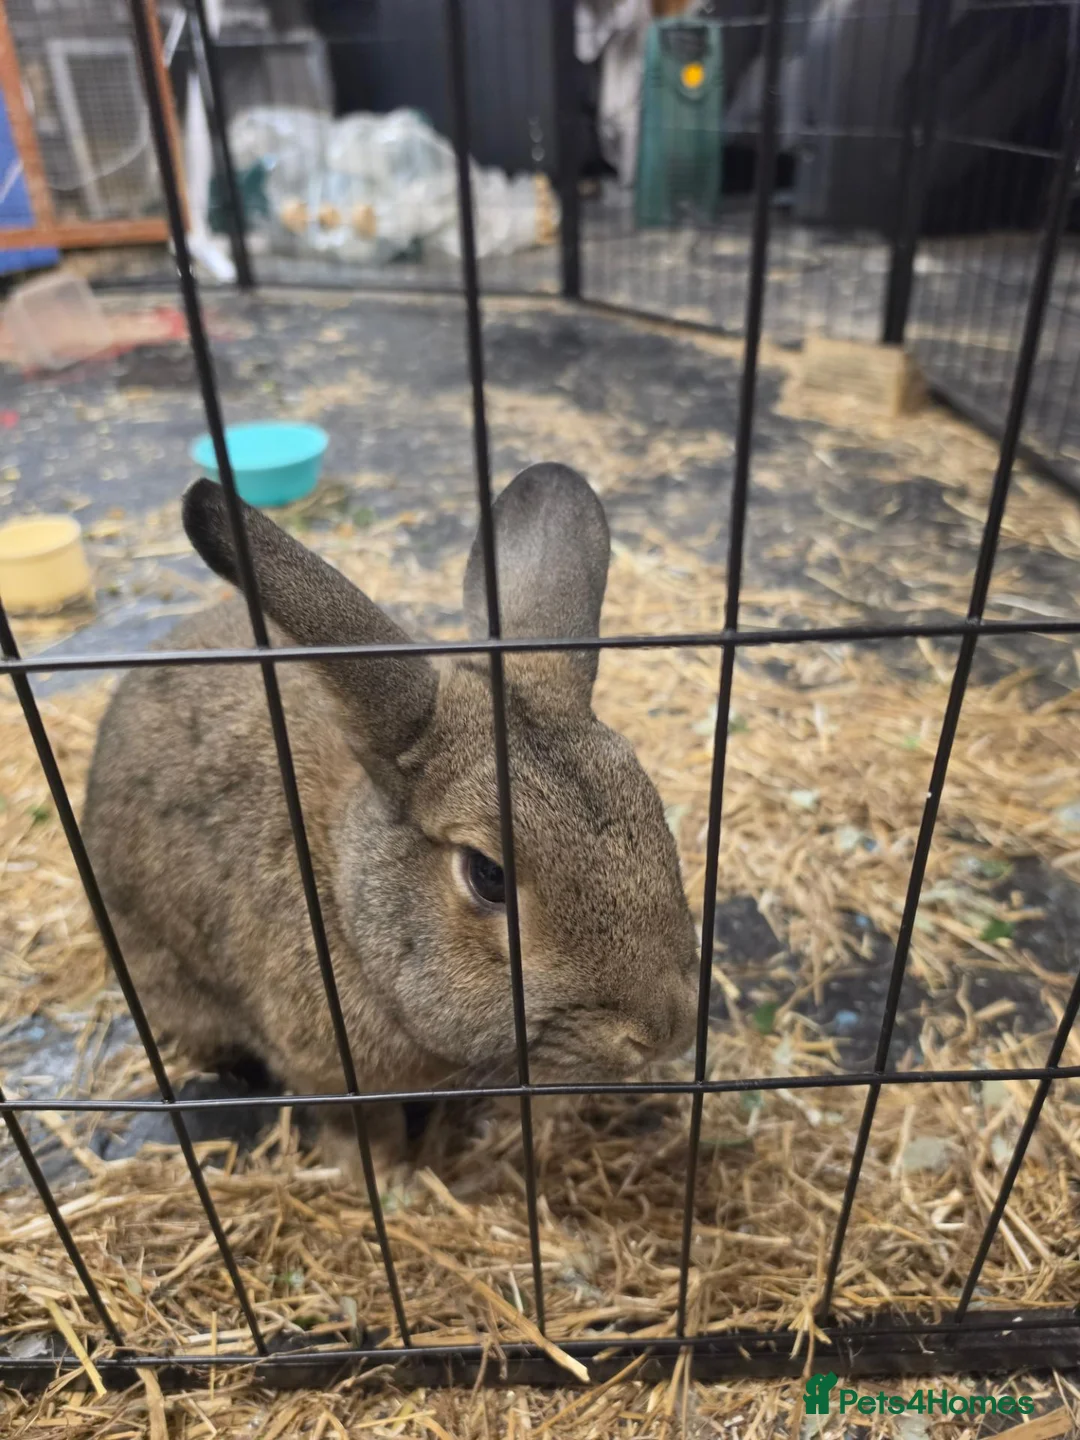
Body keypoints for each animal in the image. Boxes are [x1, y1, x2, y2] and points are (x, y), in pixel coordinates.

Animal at [82, 463, 700, 1186]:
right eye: (488, 875)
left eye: (651, 805)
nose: (664, 1032)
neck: (347, 903)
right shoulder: (330, 1073)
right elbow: (361, 1129)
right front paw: (385, 1179)